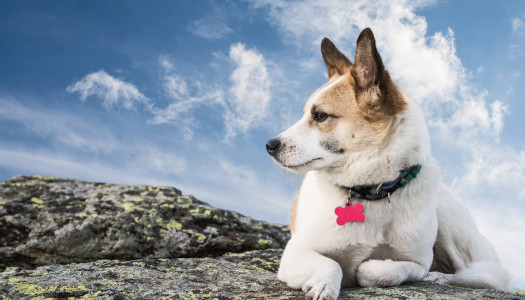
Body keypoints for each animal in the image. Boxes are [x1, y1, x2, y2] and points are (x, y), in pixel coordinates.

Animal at [264, 28, 510, 300]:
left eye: (320, 116)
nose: (270, 145)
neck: (372, 191)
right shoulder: (295, 252)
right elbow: (331, 264)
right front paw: (324, 284)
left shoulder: (417, 263)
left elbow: (383, 269)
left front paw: (368, 268)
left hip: (449, 220)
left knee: (478, 275)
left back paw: (441, 277)